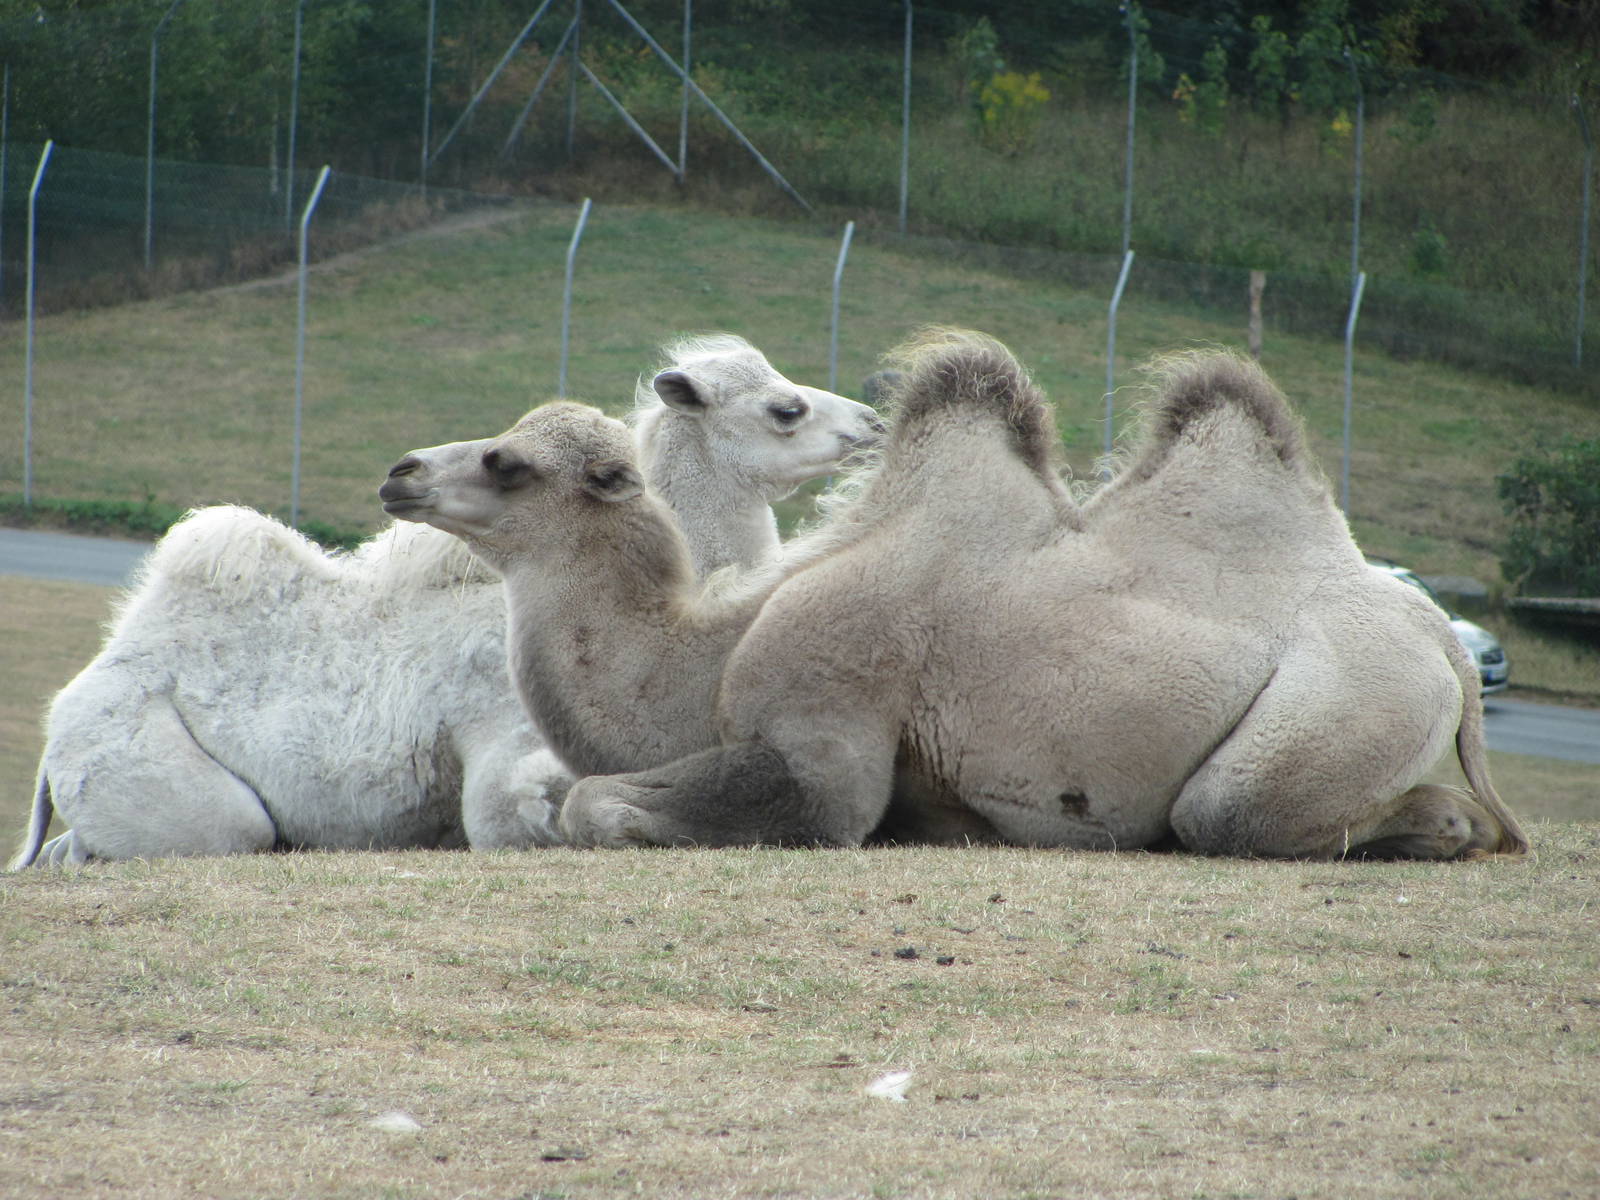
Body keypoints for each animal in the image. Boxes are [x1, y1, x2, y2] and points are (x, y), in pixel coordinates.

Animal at [383, 328, 1527, 860]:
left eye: (507, 465)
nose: (401, 472)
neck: (710, 652)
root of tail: (1448, 646)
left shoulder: (826, 727)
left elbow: (593, 800)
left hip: (1342, 702)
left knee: (1236, 810)